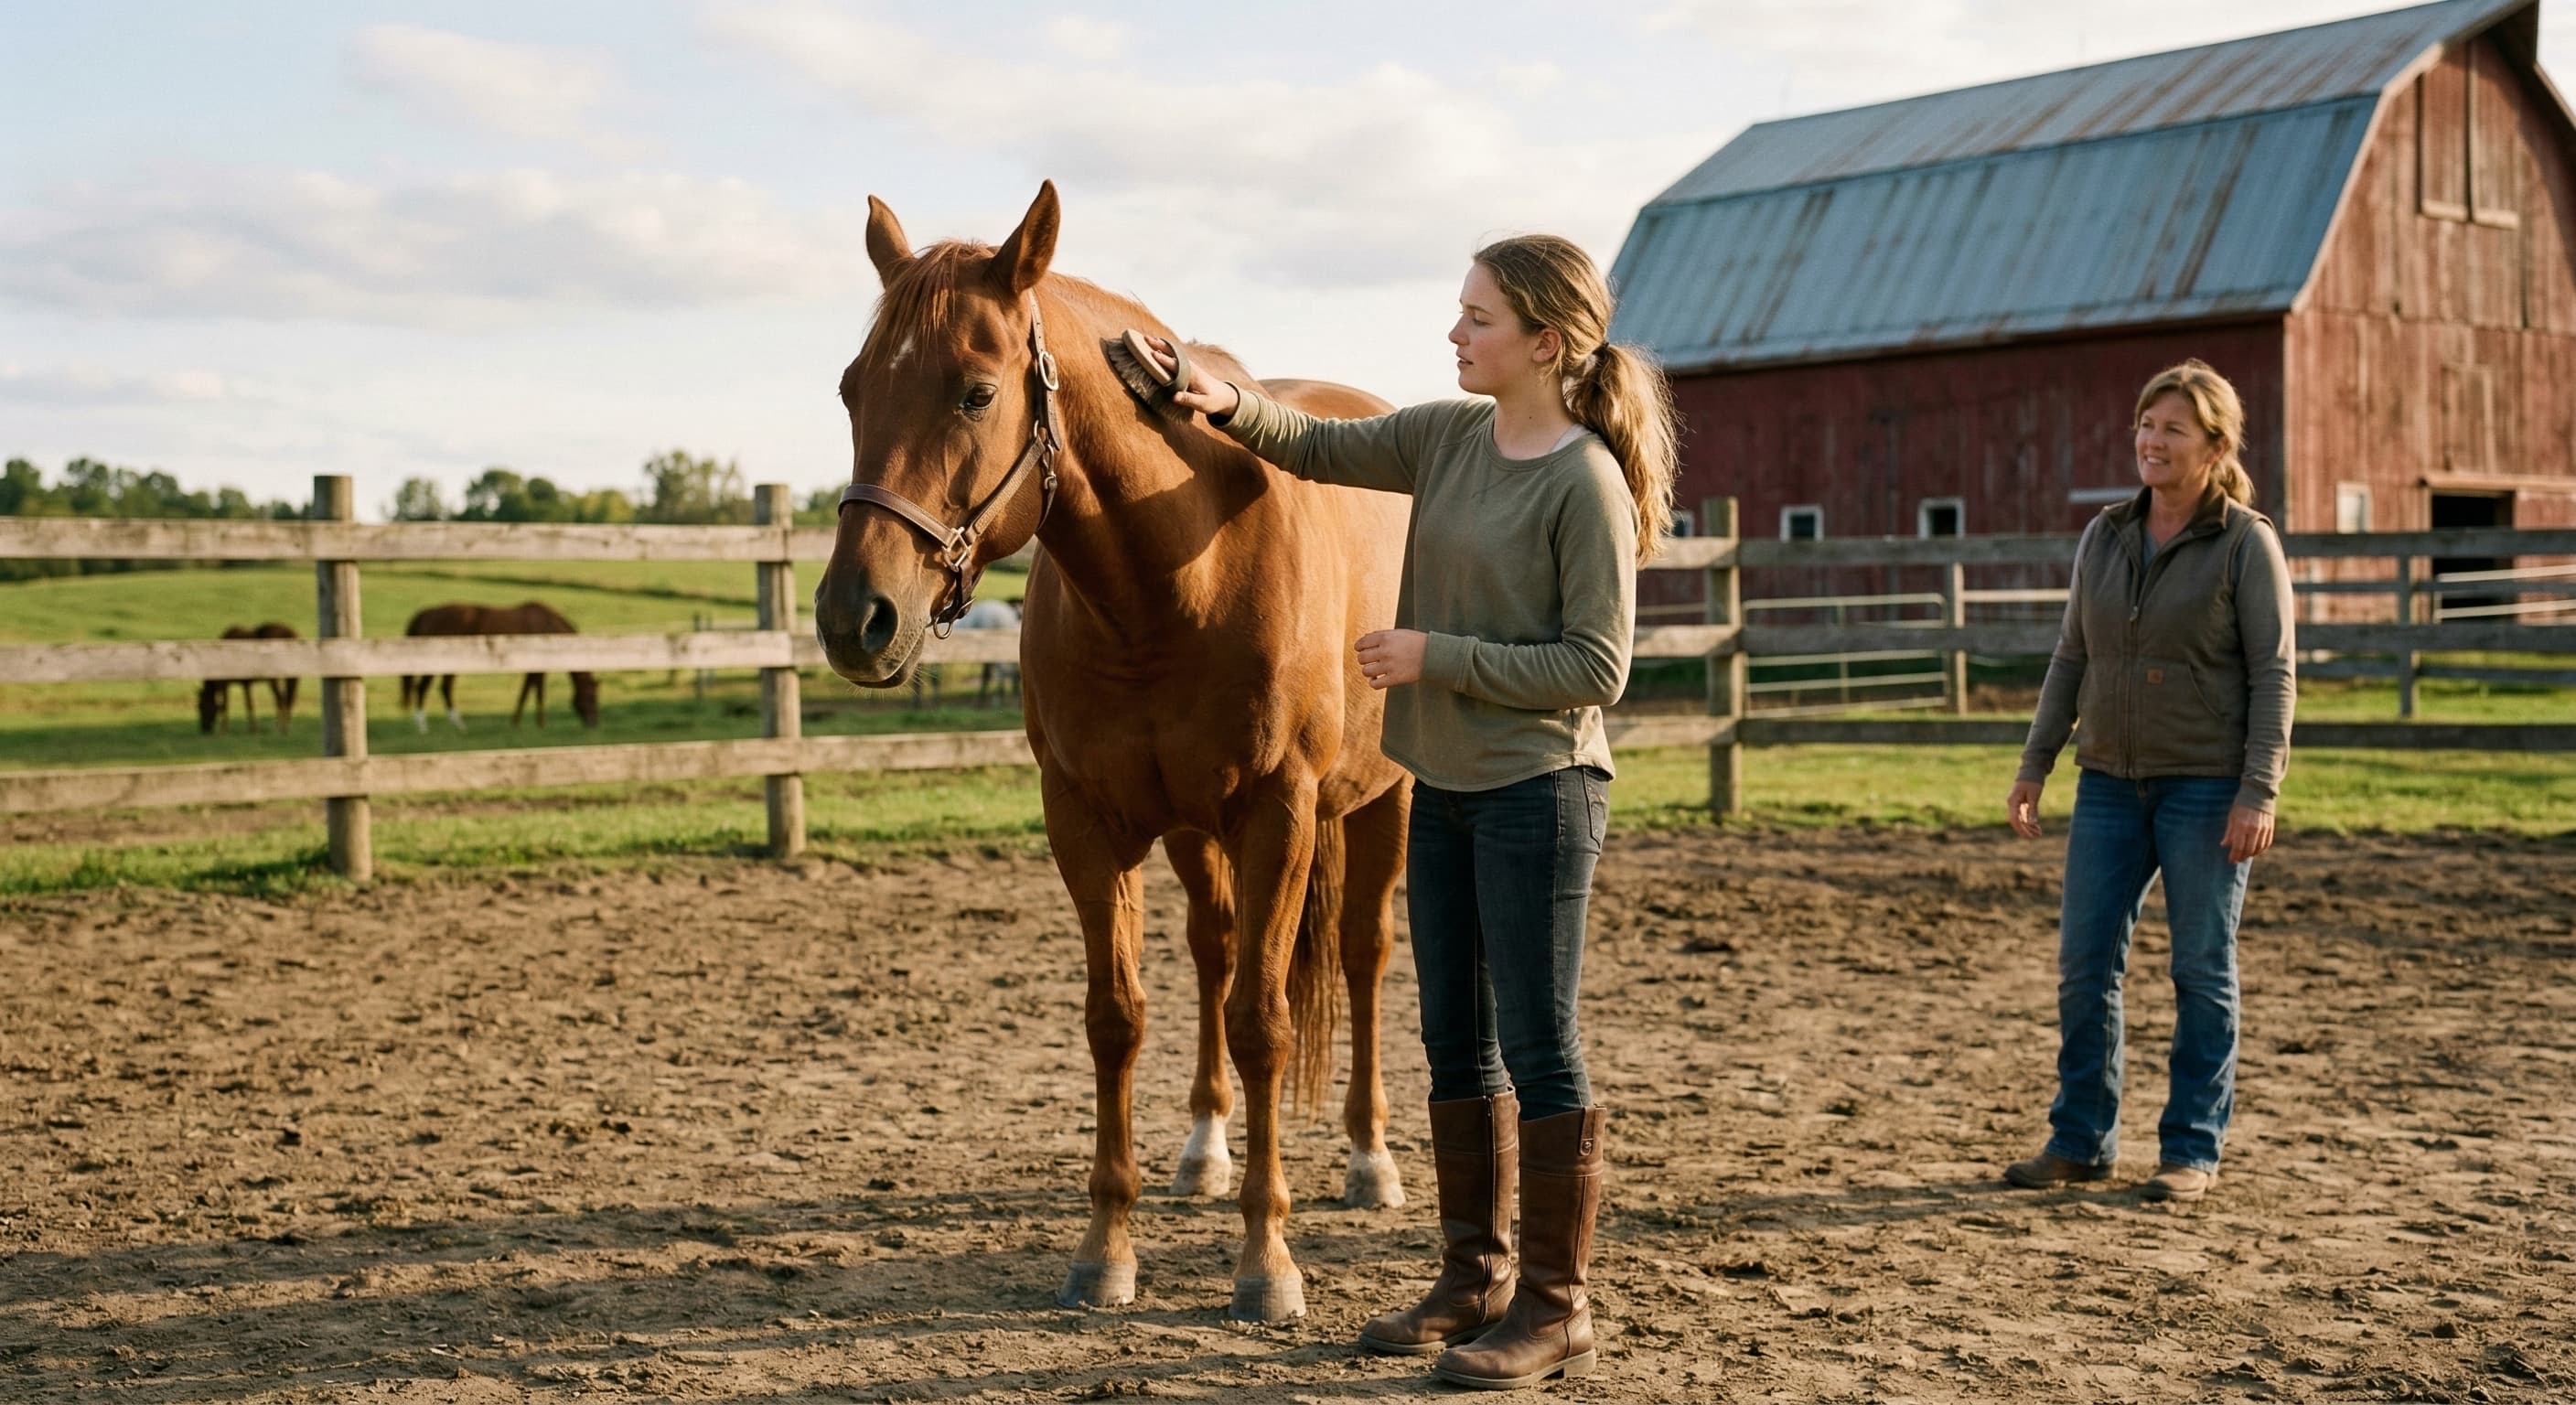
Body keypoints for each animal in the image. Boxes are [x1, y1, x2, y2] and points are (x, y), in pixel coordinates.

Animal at [399, 602, 601, 732]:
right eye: (591, 696)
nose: (593, 723)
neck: (548, 627)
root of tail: (427, 613)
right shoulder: (538, 667)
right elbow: (536, 692)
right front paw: (538, 725)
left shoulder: (533, 668)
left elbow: (528, 691)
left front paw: (520, 723)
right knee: (423, 688)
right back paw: (423, 727)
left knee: (444, 688)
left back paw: (458, 725)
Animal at [814, 183, 1414, 1322]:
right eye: (850, 389)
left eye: (974, 393)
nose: (854, 617)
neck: (1177, 572)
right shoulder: (1088, 822)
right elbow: (1116, 1018)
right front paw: (1106, 1250)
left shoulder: (1280, 814)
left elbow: (1265, 1021)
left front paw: (1267, 1263)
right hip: (1192, 831)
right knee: (1214, 951)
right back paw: (1203, 1149)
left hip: (1381, 804)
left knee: (1360, 957)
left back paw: (1369, 1159)